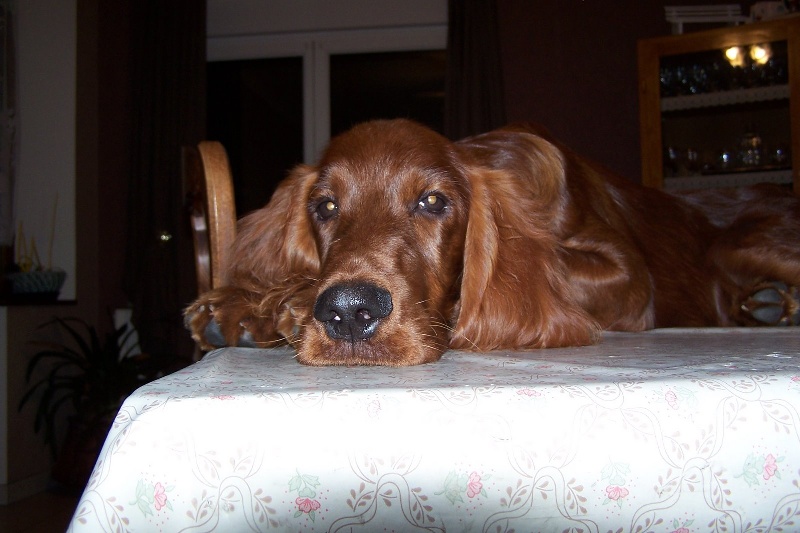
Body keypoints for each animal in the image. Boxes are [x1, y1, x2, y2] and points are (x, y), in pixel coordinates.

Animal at [185, 119, 800, 366]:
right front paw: (248, 304)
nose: (350, 310)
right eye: (326, 207)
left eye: (434, 202)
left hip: (744, 244)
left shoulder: (628, 277)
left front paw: (285, 303)